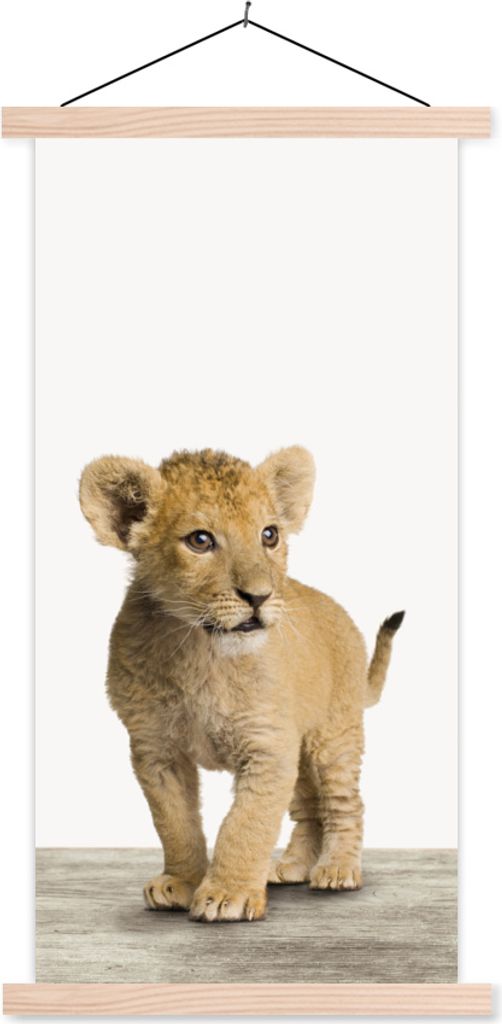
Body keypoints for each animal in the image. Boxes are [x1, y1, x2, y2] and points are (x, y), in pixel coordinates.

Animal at [79, 446, 403, 922]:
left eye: (269, 535)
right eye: (200, 540)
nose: (260, 596)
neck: (200, 650)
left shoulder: (267, 745)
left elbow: (246, 823)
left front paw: (226, 894)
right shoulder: (155, 749)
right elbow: (174, 822)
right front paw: (181, 882)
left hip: (333, 735)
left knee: (344, 802)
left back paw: (338, 869)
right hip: (300, 749)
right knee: (308, 808)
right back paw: (291, 867)